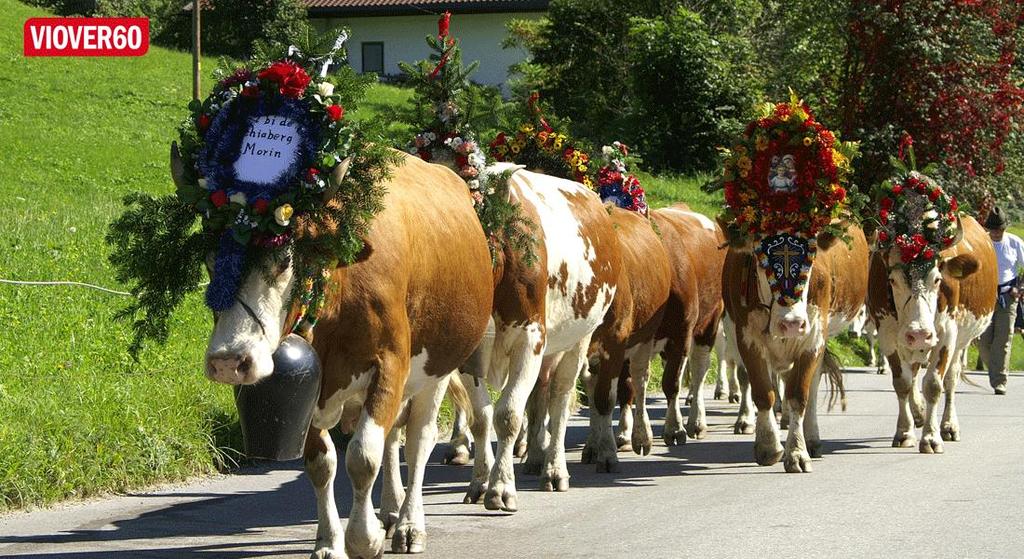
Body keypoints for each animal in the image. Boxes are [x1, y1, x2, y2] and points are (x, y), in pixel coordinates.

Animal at [192, 149, 499, 556]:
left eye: (285, 261)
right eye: (211, 261)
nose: (228, 361)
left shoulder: (391, 365)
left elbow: (363, 456)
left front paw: (364, 538)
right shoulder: (311, 391)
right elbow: (322, 463)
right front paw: (329, 540)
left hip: (439, 365)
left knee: (419, 440)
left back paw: (408, 524)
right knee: (394, 437)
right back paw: (389, 510)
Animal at [720, 223, 864, 470]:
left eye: (811, 261)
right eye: (761, 263)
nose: (792, 324)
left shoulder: (813, 338)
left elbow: (799, 395)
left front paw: (797, 451)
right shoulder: (747, 338)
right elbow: (763, 392)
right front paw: (769, 446)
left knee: (811, 385)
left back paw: (811, 438)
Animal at [868, 213, 995, 452]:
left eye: (937, 279)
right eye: (892, 280)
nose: (919, 333)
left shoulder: (946, 333)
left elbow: (934, 385)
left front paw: (931, 437)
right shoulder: (887, 334)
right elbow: (902, 383)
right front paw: (904, 432)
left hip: (961, 341)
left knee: (951, 379)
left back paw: (948, 426)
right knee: (914, 372)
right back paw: (918, 413)